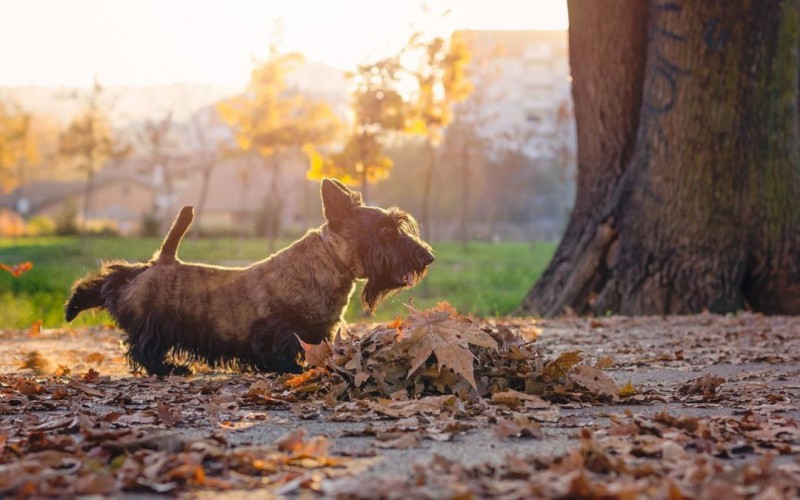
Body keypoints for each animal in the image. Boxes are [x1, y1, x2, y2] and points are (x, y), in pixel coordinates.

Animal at [65, 180, 434, 376]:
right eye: (385, 231)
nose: (427, 257)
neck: (331, 262)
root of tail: (162, 261)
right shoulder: (278, 328)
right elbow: (278, 351)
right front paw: (291, 368)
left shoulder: (318, 331)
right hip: (152, 320)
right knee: (142, 344)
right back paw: (170, 368)